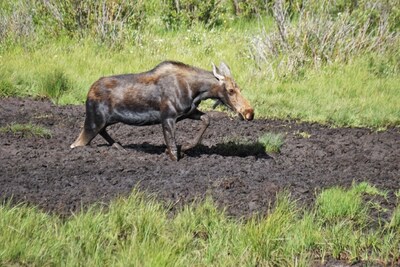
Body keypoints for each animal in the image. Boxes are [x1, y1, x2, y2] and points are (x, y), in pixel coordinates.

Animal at [70, 61, 255, 160]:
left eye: (240, 88)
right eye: (231, 90)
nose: (249, 112)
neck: (196, 92)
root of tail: (89, 91)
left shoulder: (189, 112)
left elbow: (207, 119)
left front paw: (185, 147)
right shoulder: (167, 117)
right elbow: (171, 145)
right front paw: (173, 153)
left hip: (105, 120)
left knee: (102, 132)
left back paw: (119, 147)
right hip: (93, 120)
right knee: (76, 143)